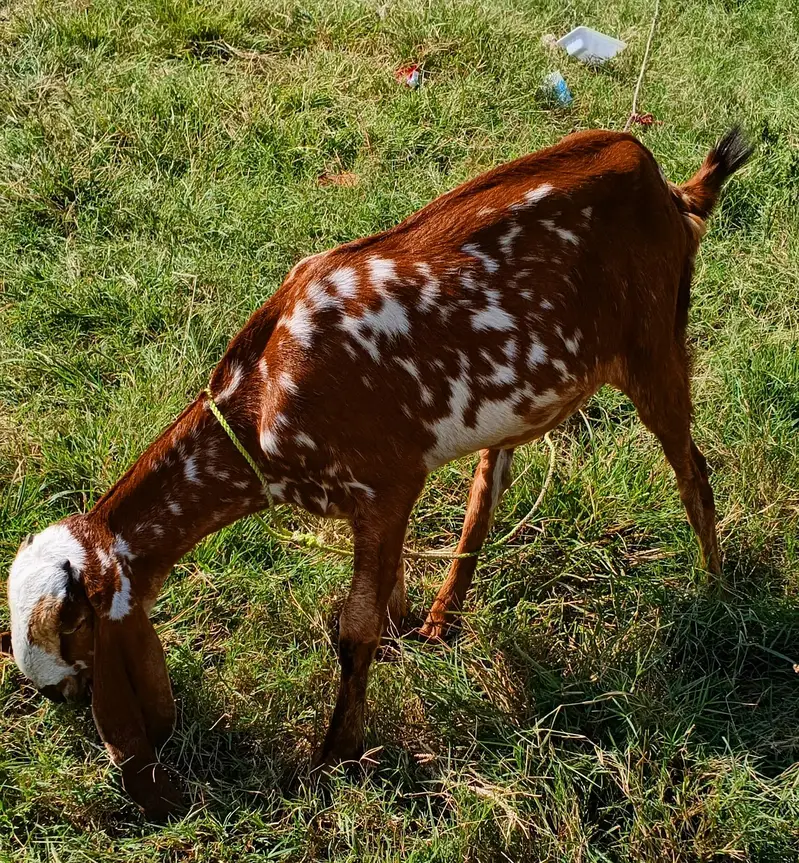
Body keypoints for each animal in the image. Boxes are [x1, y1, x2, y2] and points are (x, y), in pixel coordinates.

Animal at [3, 128, 751, 816]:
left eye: (74, 651)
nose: (64, 699)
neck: (262, 396)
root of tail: (660, 181)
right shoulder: (383, 497)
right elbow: (383, 594)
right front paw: (398, 634)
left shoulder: (387, 486)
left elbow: (354, 625)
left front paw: (334, 755)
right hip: (526, 397)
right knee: (488, 486)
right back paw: (443, 618)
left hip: (655, 345)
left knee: (693, 472)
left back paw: (715, 592)